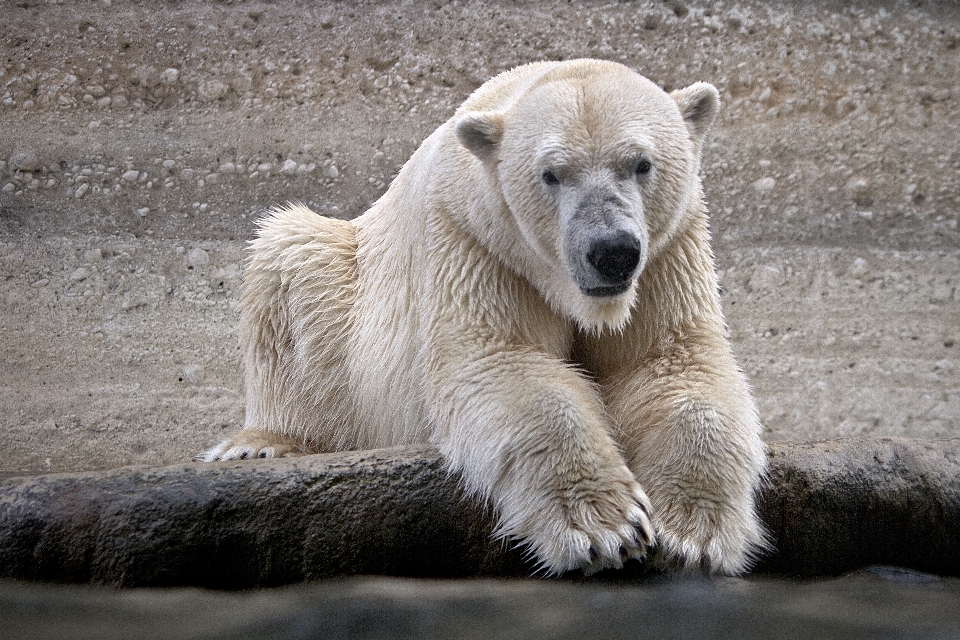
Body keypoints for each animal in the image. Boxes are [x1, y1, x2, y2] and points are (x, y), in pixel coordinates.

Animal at [199, 60, 768, 576]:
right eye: (551, 174)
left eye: (641, 164)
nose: (611, 251)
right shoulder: (476, 240)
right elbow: (501, 362)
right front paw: (606, 529)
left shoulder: (668, 249)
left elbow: (670, 362)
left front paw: (692, 535)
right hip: (346, 288)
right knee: (290, 258)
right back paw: (260, 444)